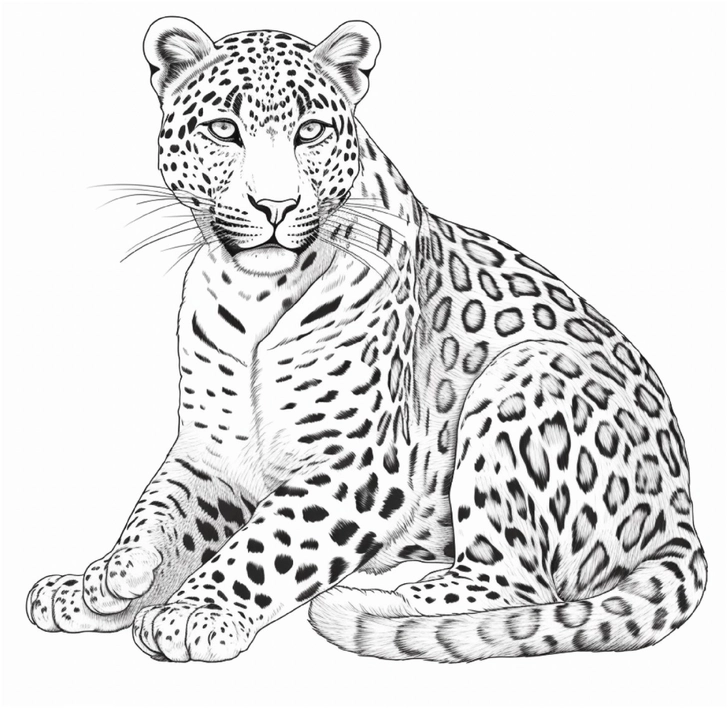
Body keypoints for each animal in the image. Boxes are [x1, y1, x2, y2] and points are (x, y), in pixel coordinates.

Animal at [26, 16, 707, 663]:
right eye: (224, 129)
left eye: (310, 132)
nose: (275, 205)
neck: (253, 294)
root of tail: (683, 513)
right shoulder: (210, 454)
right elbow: (157, 514)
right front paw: (103, 580)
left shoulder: (357, 463)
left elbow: (264, 547)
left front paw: (196, 613)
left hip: (526, 374)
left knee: (519, 583)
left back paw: (395, 596)